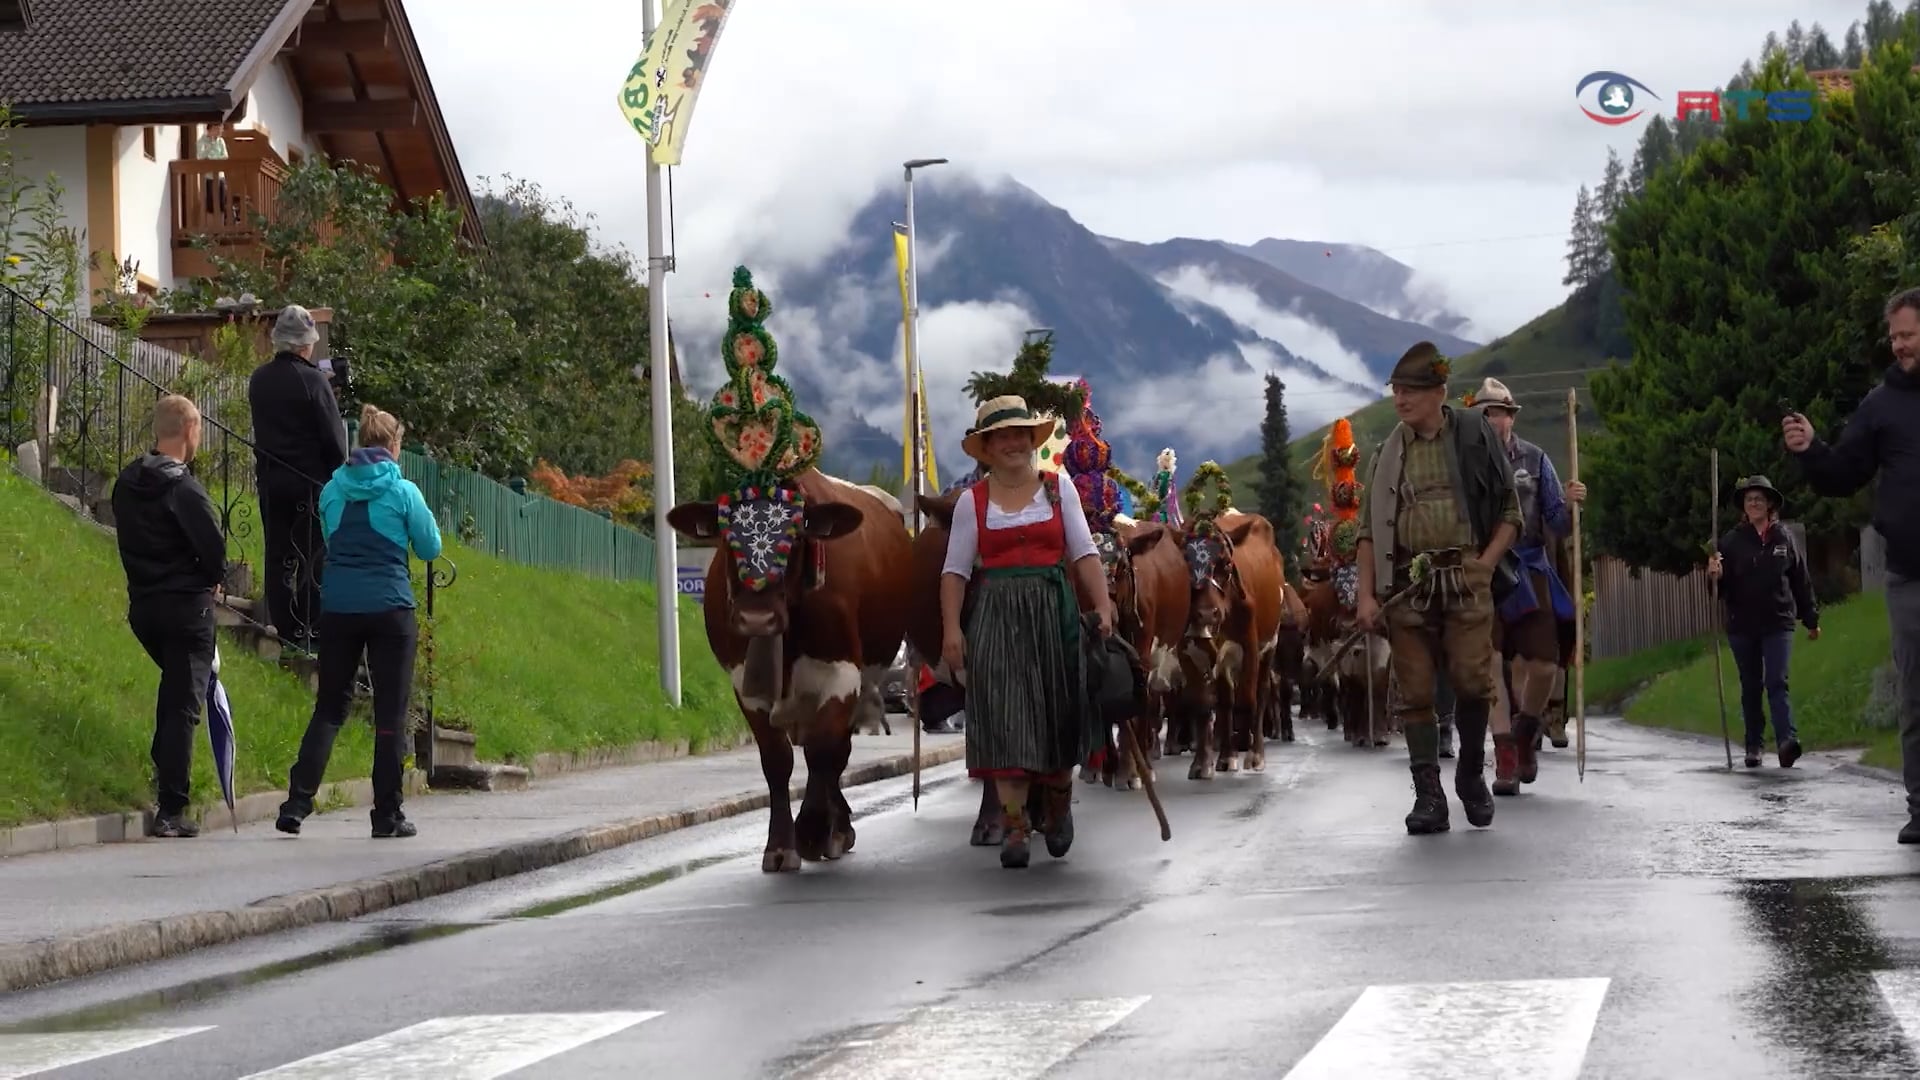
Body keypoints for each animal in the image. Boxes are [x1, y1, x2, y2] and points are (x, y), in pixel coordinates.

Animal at [664, 466, 910, 868]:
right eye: (727, 537)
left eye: (796, 538)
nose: (756, 618)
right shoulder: (744, 684)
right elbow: (777, 760)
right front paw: (780, 845)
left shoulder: (842, 674)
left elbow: (822, 750)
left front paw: (811, 830)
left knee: (836, 751)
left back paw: (836, 829)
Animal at [1175, 511, 1282, 772]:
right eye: (1185, 565)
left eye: (1226, 565)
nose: (1206, 614)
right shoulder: (1186, 650)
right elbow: (1202, 703)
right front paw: (1202, 764)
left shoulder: (1250, 644)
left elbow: (1247, 700)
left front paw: (1247, 747)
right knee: (1226, 699)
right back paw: (1225, 755)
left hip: (1270, 644)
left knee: (1261, 693)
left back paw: (1255, 752)